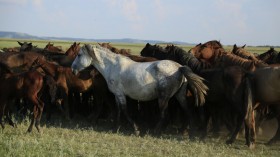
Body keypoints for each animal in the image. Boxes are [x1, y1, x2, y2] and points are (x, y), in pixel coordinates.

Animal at [71, 44, 208, 136]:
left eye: (79, 55)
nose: (73, 69)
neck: (112, 66)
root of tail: (179, 67)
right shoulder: (117, 95)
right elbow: (118, 110)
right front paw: (115, 127)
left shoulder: (120, 94)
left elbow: (124, 110)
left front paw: (136, 129)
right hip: (180, 96)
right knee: (188, 111)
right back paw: (187, 132)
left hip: (163, 98)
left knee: (165, 115)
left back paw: (155, 131)